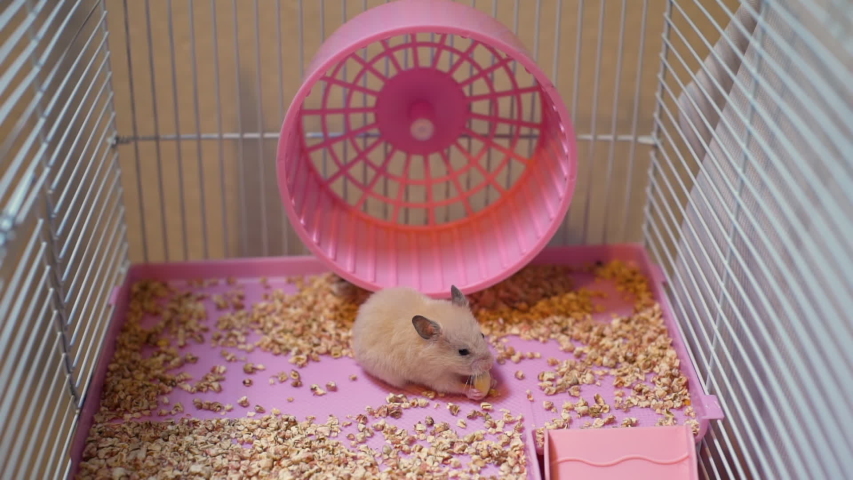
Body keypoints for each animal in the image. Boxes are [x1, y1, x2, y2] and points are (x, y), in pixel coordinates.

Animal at [351, 285, 495, 400]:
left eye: (482, 335)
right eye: (463, 351)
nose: (489, 365)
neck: (442, 361)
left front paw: (494, 382)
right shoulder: (435, 378)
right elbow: (453, 386)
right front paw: (474, 393)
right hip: (390, 374)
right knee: (402, 385)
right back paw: (416, 388)